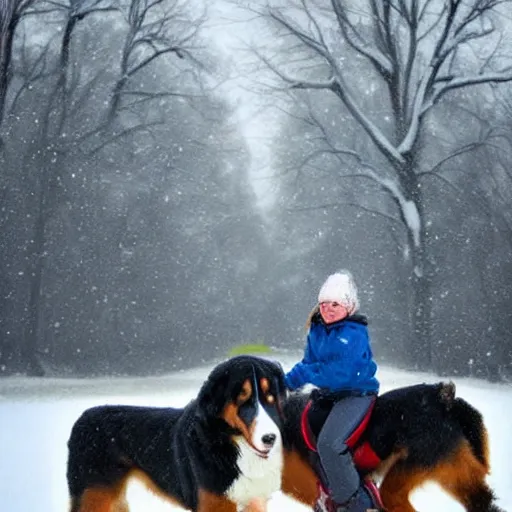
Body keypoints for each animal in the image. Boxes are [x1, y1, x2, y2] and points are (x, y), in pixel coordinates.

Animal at [67, 356, 288, 512]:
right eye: (243, 400)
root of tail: (82, 417)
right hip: (94, 496)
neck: (229, 443)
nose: (270, 438)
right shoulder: (214, 505)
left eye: (270, 397)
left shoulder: (255, 502)